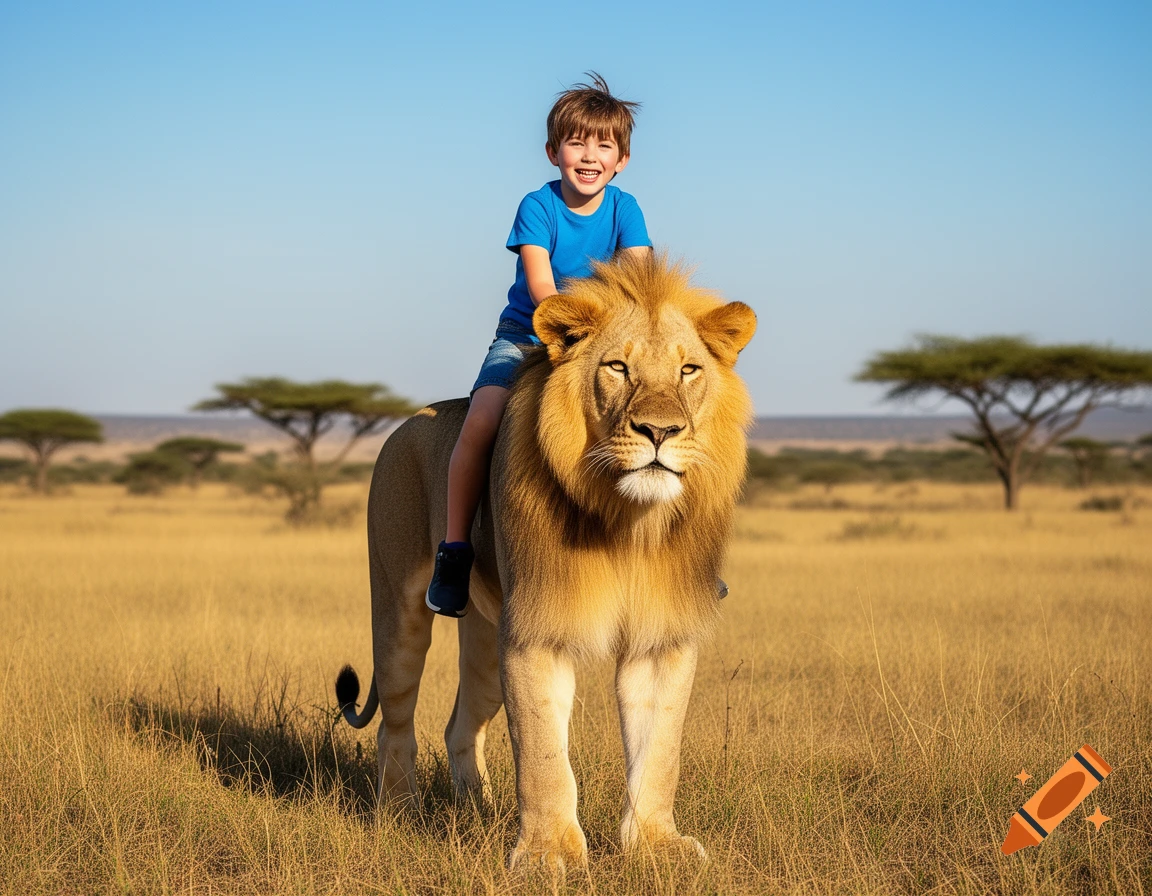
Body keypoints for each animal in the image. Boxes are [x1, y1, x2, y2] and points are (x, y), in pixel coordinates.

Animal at [334, 252, 756, 871]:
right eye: (617, 368)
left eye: (689, 371)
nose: (660, 431)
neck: (627, 521)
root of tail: (407, 421)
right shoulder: (536, 633)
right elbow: (542, 754)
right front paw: (547, 854)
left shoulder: (660, 638)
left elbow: (659, 752)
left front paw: (656, 846)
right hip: (399, 613)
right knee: (395, 722)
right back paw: (401, 815)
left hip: (487, 640)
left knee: (460, 726)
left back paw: (476, 812)